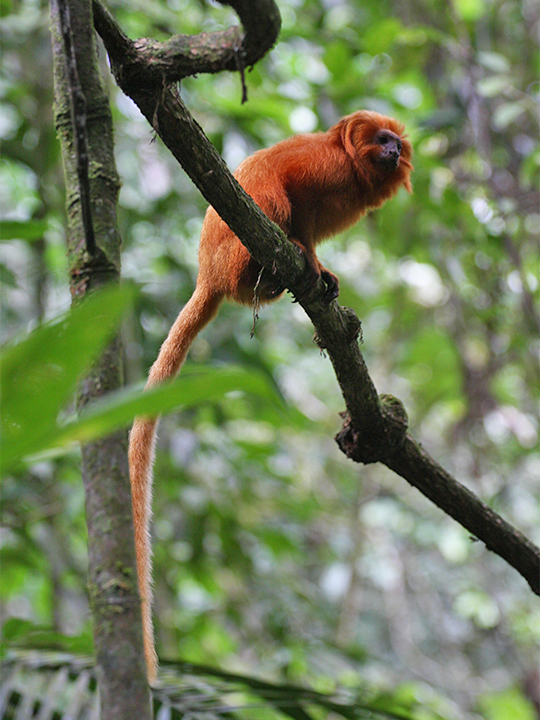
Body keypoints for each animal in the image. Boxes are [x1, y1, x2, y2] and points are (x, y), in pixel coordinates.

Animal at [129, 108, 416, 680]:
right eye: (383, 140)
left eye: (398, 143)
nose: (395, 152)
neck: (354, 172)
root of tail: (209, 275)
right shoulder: (321, 168)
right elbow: (289, 196)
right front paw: (307, 260)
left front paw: (322, 275)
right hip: (233, 249)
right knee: (269, 202)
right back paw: (268, 267)